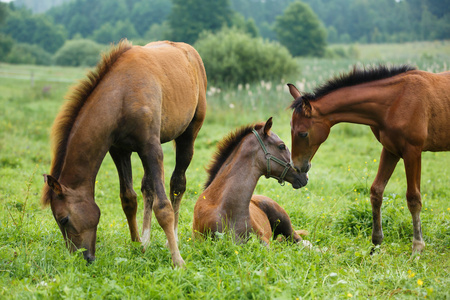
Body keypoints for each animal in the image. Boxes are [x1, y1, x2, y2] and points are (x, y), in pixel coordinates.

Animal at [41, 40, 207, 268]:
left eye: (64, 219)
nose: (84, 258)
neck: (121, 96)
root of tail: (189, 50)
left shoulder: (151, 148)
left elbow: (163, 208)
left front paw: (177, 261)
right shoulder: (120, 150)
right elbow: (129, 199)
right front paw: (138, 246)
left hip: (188, 136)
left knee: (177, 184)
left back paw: (170, 239)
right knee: (148, 187)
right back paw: (146, 239)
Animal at [288, 65, 450, 253]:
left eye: (303, 133)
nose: (298, 166)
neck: (395, 101)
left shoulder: (413, 151)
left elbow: (413, 198)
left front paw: (417, 247)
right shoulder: (391, 150)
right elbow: (376, 191)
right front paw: (376, 244)